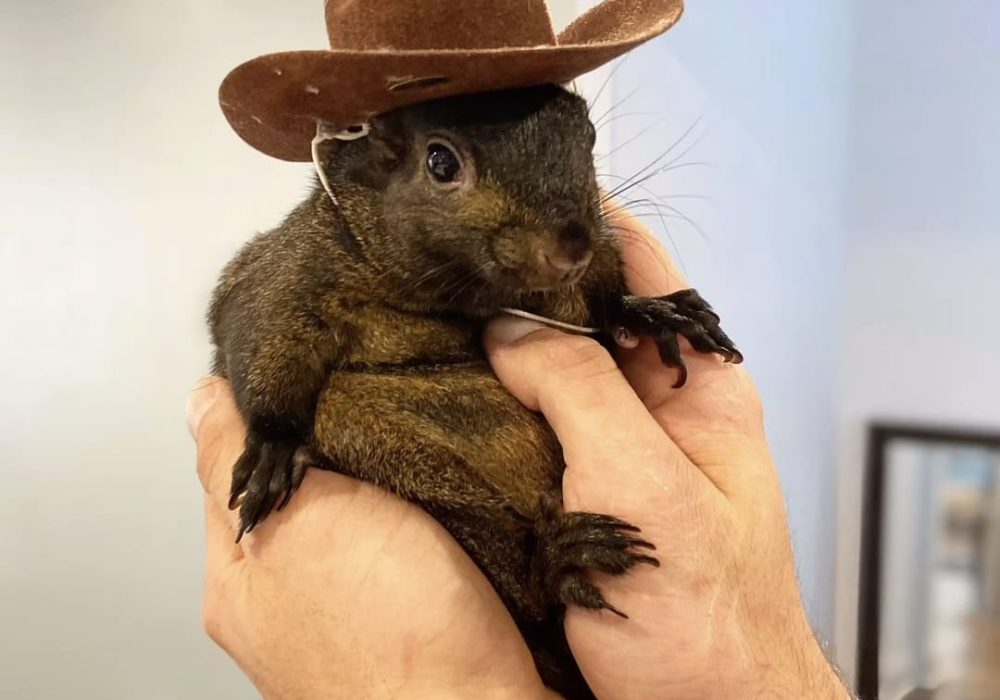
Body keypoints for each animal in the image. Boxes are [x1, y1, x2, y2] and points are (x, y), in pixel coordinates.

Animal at [208, 83, 742, 700]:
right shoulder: (289, 271)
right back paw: (555, 562)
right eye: (440, 163)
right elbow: (261, 334)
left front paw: (653, 313)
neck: (463, 296)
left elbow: (604, 303)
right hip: (385, 447)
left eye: (587, 134)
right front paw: (271, 447)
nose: (570, 249)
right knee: (525, 590)